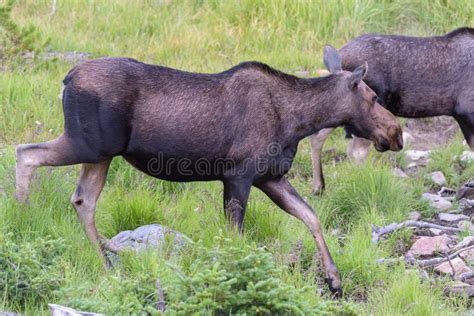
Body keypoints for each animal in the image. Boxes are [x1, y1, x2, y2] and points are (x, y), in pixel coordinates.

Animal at [14, 46, 402, 294]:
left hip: (100, 154)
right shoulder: (239, 175)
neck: (298, 122)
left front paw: (334, 280)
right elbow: (236, 237)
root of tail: (66, 79)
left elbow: (311, 216)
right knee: (25, 153)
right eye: (373, 98)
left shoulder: (270, 177)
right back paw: (24, 219)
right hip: (89, 144)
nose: (397, 134)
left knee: (83, 201)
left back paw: (107, 265)